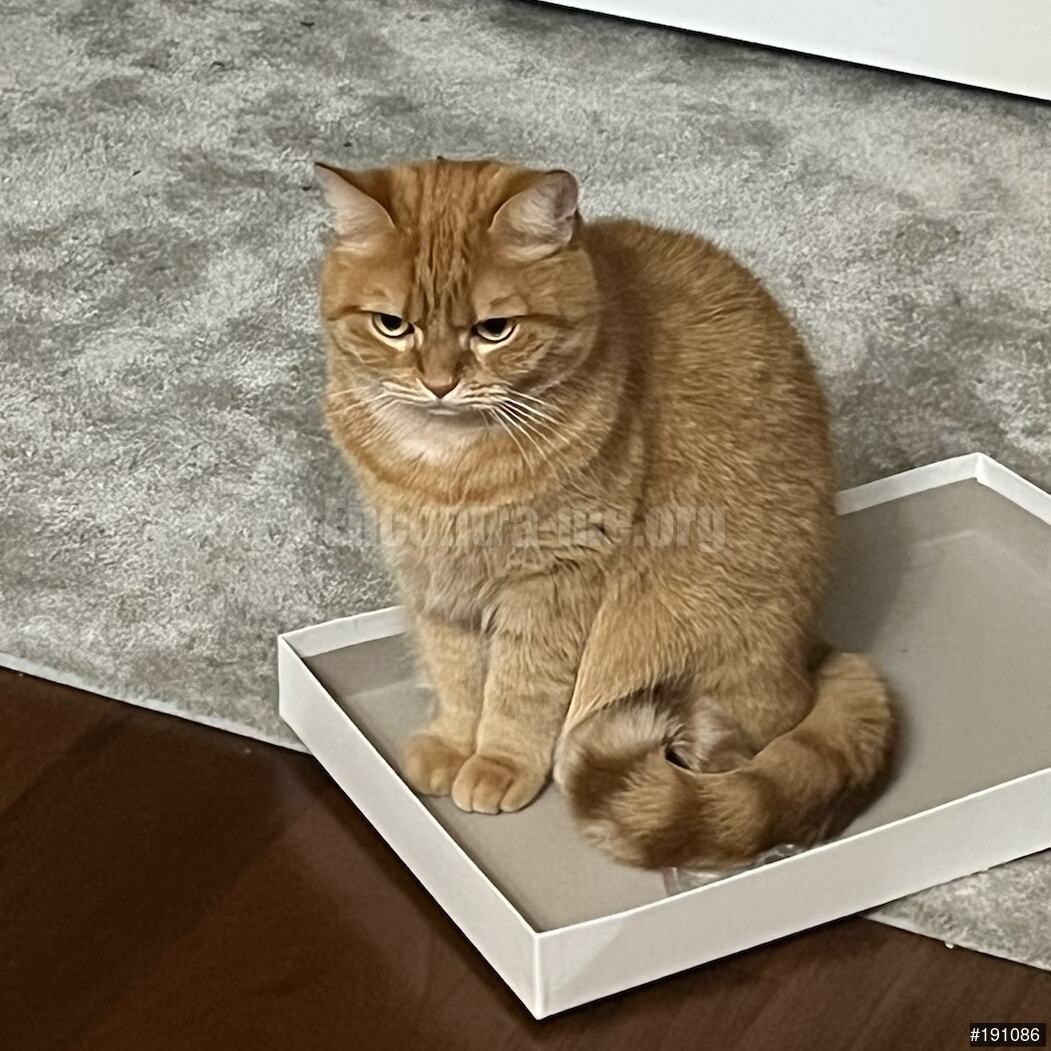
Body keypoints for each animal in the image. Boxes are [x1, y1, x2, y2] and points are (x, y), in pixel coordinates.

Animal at [315, 157, 896, 870]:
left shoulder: (556, 582)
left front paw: (498, 762)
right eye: (392, 325)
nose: (439, 383)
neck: (449, 470)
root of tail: (813, 648)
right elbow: (456, 670)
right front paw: (454, 742)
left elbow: (519, 689)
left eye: (494, 331)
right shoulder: (432, 579)